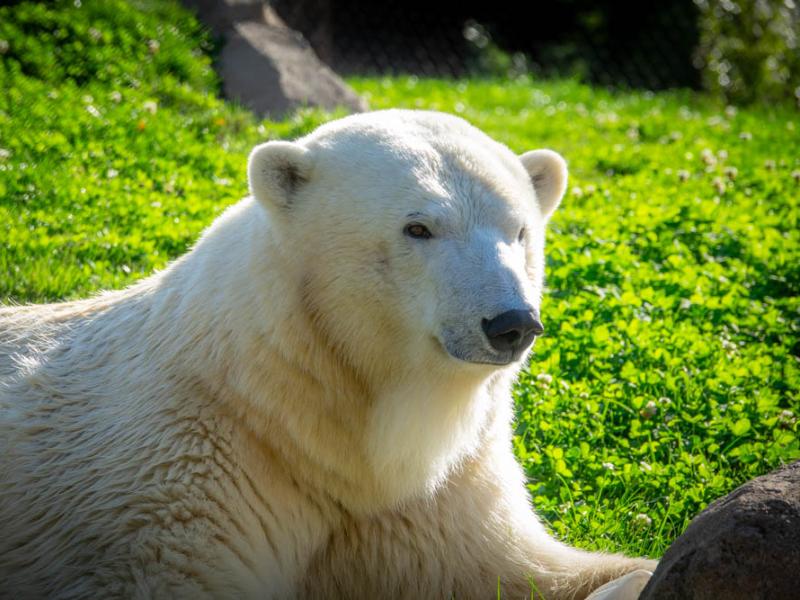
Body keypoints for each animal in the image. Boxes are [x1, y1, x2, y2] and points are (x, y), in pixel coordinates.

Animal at [0, 110, 655, 599]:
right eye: (418, 228)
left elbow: (523, 566)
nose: (512, 324)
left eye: (519, 231)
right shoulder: (182, 475)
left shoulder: (436, 497)